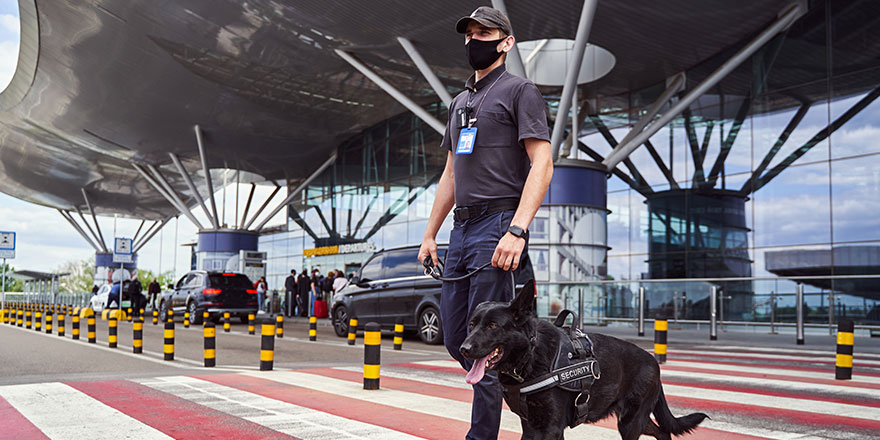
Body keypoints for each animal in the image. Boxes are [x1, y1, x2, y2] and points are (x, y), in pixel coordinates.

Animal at [460, 282, 708, 440]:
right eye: (471, 325)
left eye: (492, 326)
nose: (464, 349)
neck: (530, 357)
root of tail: (654, 362)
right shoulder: (531, 426)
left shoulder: (550, 428)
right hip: (633, 418)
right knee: (663, 432)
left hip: (630, 422)